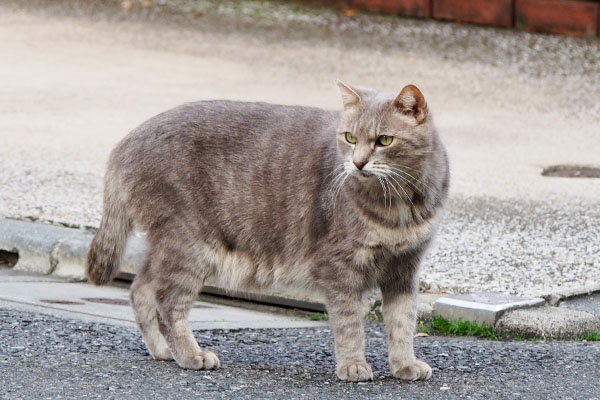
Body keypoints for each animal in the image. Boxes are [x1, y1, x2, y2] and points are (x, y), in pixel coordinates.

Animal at [86, 80, 448, 382]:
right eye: (350, 137)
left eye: (384, 140)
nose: (358, 163)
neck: (397, 206)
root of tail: (125, 142)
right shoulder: (339, 267)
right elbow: (350, 324)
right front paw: (353, 366)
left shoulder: (404, 269)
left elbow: (402, 322)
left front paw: (404, 365)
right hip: (187, 245)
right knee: (167, 300)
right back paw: (190, 355)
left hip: (168, 246)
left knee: (140, 290)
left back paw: (163, 351)